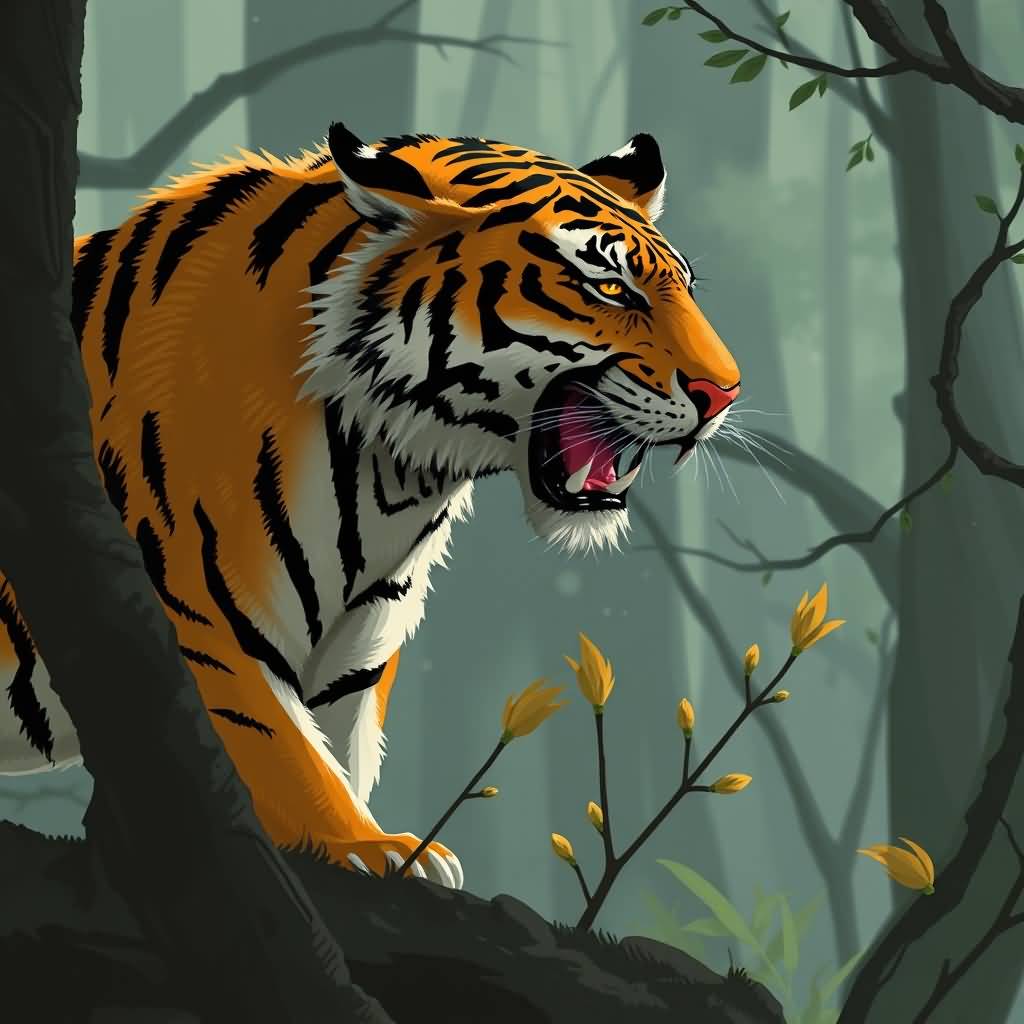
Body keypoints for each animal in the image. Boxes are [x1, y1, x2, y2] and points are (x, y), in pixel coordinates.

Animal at [0, 124, 740, 888]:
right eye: (609, 288)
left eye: (685, 288)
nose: (726, 391)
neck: (395, 472)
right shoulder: (201, 616)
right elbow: (289, 754)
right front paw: (373, 848)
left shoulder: (358, 648)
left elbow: (339, 750)